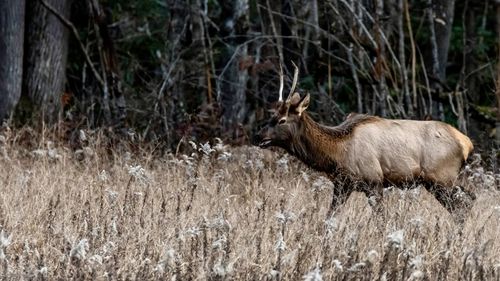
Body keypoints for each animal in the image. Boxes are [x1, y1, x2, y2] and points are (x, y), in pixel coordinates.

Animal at [256, 63, 474, 211]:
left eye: (282, 120)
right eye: (271, 115)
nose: (259, 135)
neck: (336, 155)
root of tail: (467, 143)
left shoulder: (374, 181)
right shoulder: (343, 184)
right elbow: (330, 217)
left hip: (441, 178)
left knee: (462, 205)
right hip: (440, 181)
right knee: (469, 197)